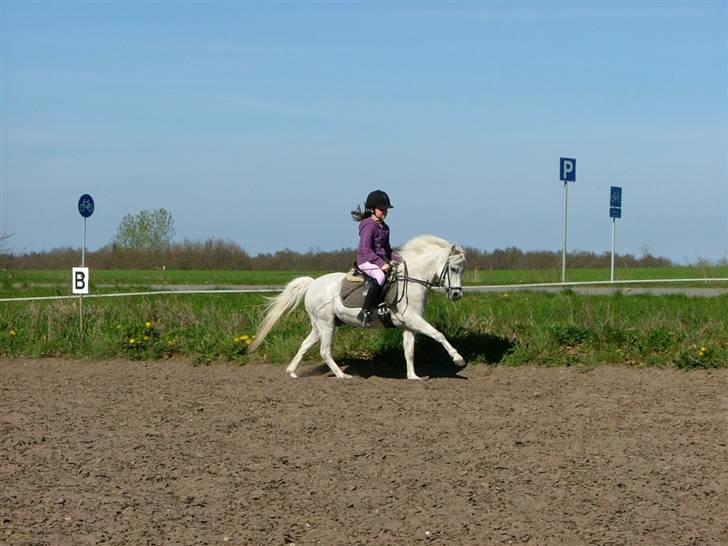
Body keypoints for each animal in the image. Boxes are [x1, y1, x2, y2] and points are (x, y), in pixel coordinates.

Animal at [247, 235, 467, 380]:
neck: (413, 280)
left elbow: (409, 351)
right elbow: (438, 334)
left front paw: (413, 376)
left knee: (305, 344)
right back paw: (342, 376)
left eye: (462, 270)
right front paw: (458, 359)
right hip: (327, 324)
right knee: (324, 351)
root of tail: (312, 284)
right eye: (453, 268)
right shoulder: (414, 320)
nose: (457, 295)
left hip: (320, 325)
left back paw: (292, 372)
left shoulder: (409, 324)